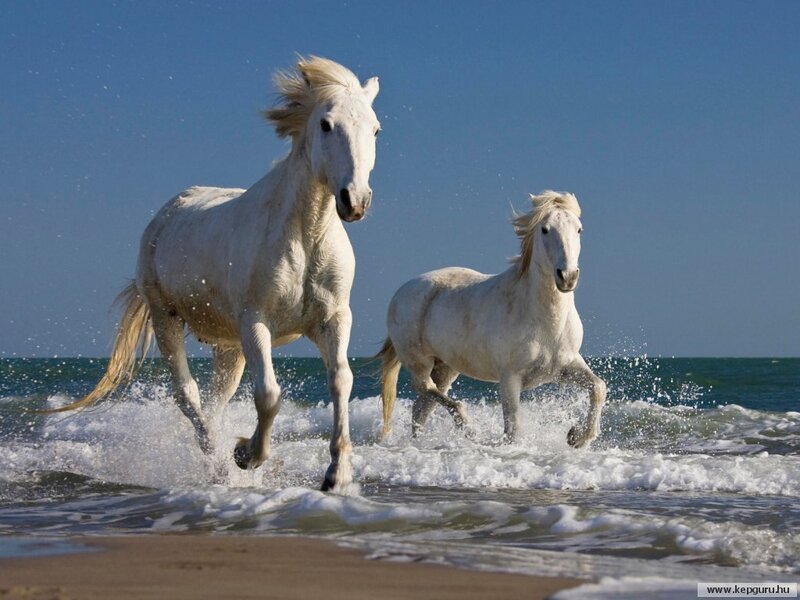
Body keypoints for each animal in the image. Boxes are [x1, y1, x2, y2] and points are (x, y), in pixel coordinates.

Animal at [53, 56, 381, 492]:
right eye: (326, 124)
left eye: (376, 129)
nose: (355, 200)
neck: (305, 235)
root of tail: (168, 212)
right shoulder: (255, 322)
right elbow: (269, 394)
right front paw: (246, 455)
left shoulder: (334, 319)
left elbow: (341, 381)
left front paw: (336, 475)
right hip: (167, 319)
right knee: (188, 396)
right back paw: (218, 463)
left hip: (229, 347)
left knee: (214, 402)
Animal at [378, 191, 606, 448]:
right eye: (545, 229)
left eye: (579, 229)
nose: (567, 277)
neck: (545, 322)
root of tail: (401, 291)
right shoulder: (510, 378)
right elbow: (513, 428)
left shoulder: (565, 366)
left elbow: (598, 387)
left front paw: (577, 437)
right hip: (419, 361)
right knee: (425, 389)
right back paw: (467, 427)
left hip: (445, 368)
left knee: (421, 407)